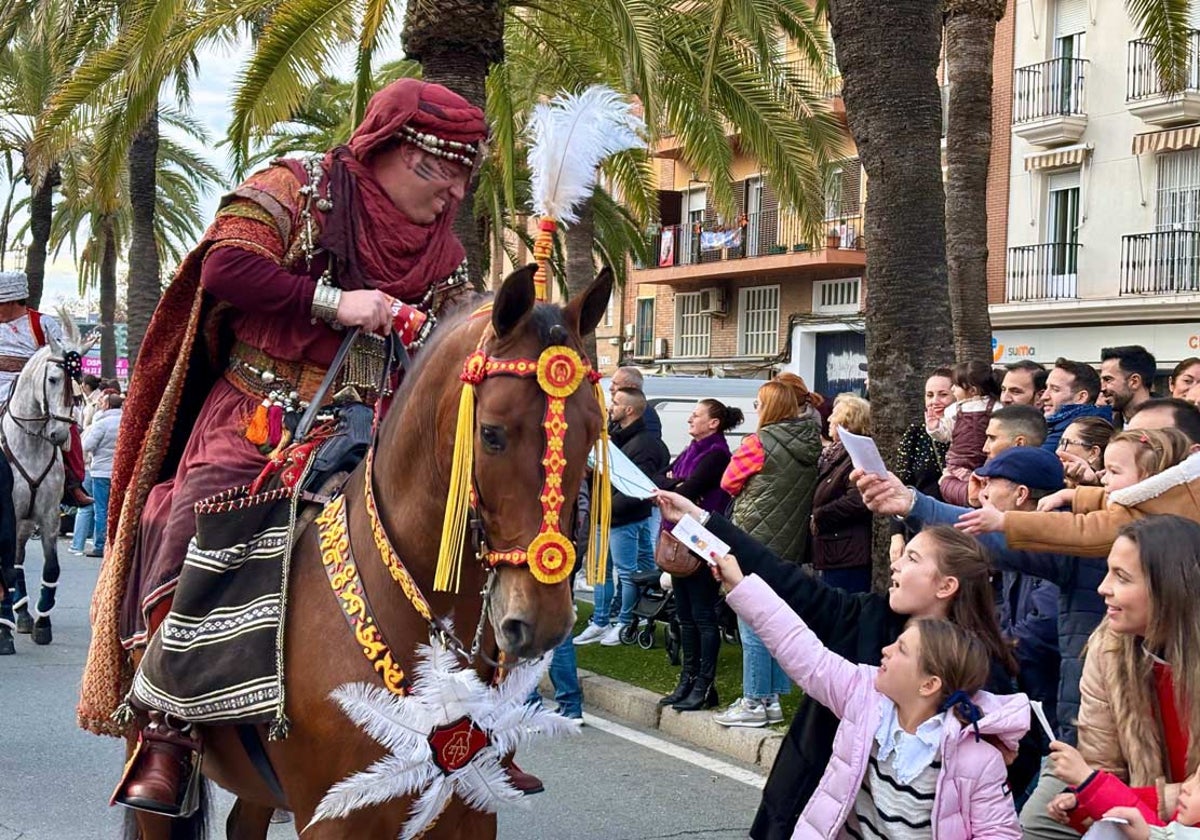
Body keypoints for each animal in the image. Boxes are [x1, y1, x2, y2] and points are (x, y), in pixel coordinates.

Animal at [0, 319, 93, 652]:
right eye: (53, 379)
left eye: (76, 382)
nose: (60, 434)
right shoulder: (10, 514)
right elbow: (6, 568)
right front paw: (4, 634)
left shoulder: (49, 515)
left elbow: (51, 567)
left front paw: (42, 623)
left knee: (18, 562)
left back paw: (24, 615)